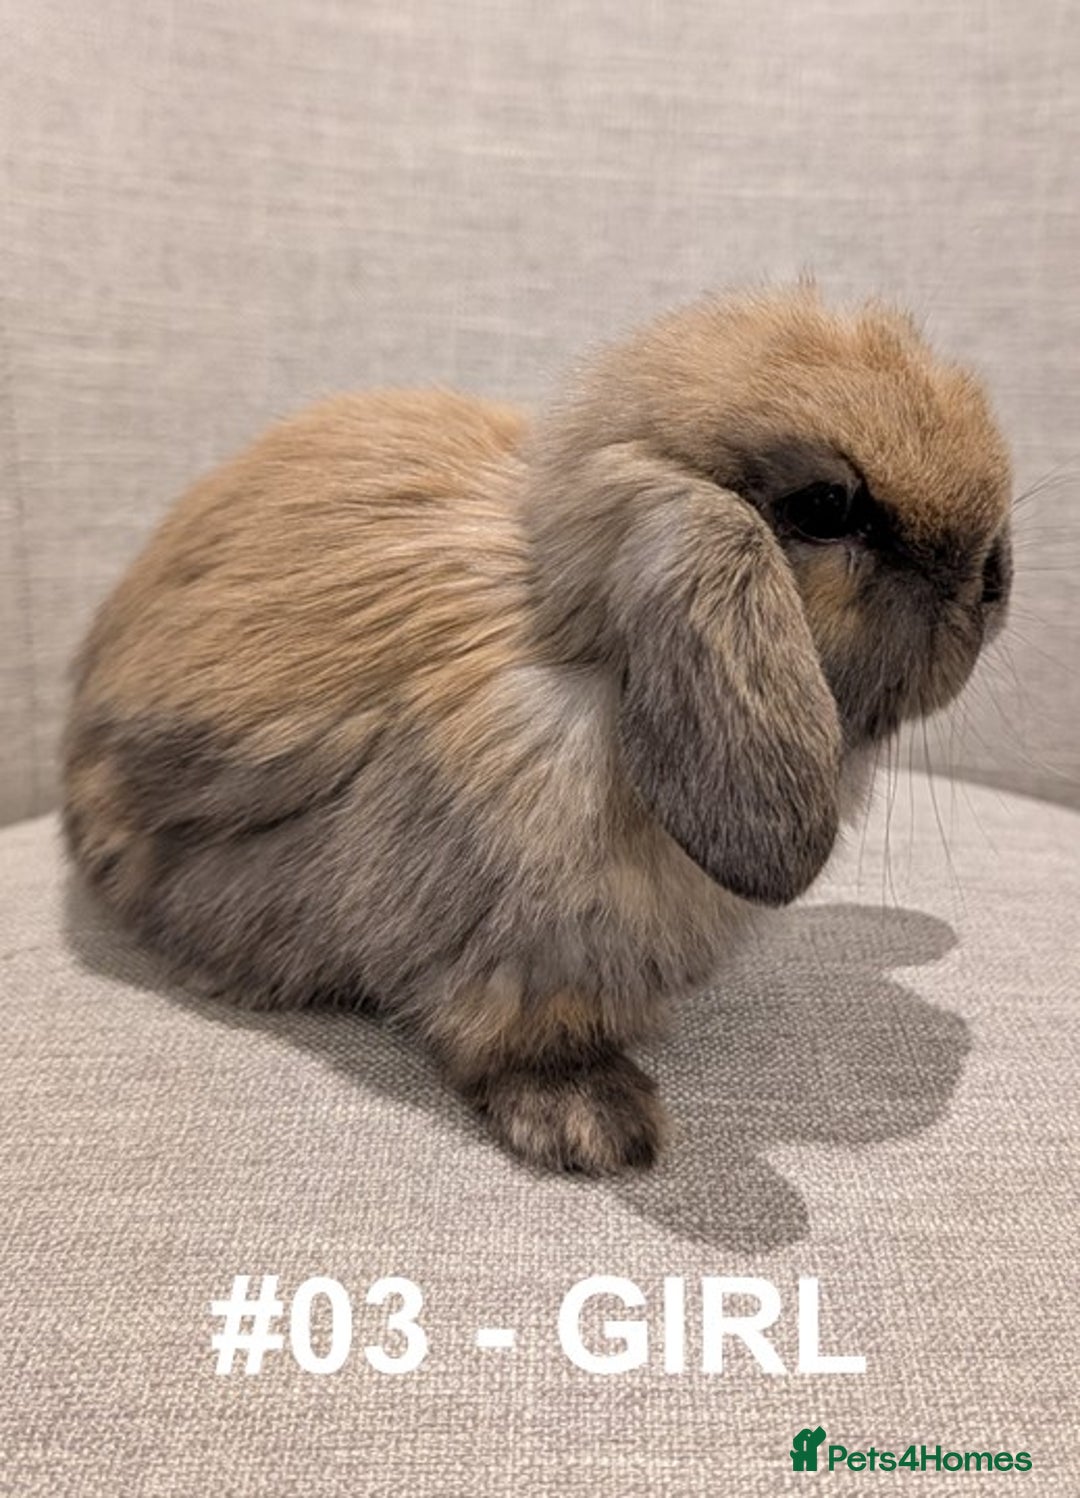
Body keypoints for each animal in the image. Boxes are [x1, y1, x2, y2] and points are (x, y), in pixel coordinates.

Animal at [63, 285, 1012, 1175]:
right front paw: (600, 1125)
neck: (588, 658)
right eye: (824, 508)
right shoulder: (513, 954)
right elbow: (512, 1034)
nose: (994, 577)